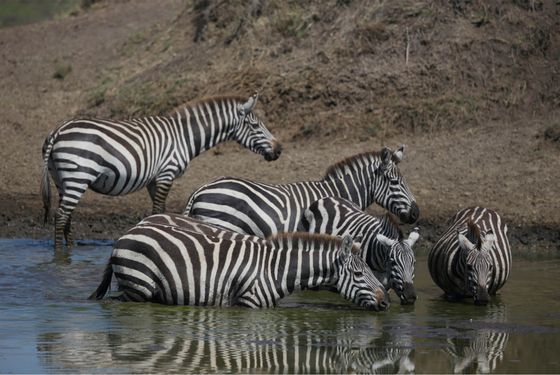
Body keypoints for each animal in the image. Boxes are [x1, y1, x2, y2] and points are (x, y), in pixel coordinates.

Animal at [41, 91, 282, 251]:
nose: (279, 150)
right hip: (77, 176)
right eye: (256, 126)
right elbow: (158, 209)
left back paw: (70, 250)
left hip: (61, 179)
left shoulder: (153, 179)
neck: (183, 136)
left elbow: (159, 210)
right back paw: (60, 256)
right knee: (61, 215)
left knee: (67, 216)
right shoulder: (167, 172)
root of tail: (58, 130)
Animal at [91, 217, 390, 312]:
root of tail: (124, 234)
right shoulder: (248, 304)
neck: (276, 270)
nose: (386, 302)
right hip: (137, 286)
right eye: (358, 273)